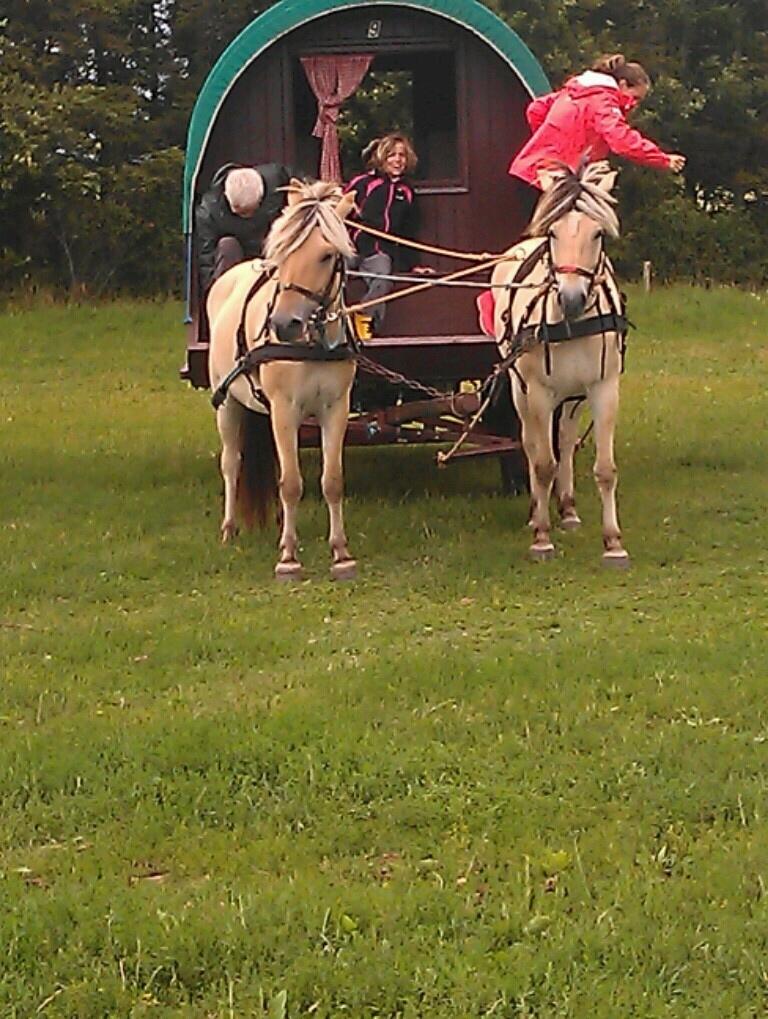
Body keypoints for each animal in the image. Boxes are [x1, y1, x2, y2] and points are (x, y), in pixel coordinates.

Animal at [204, 181, 358, 582]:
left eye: (327, 255)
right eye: (283, 252)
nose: (285, 323)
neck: (312, 343)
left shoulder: (335, 408)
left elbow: (332, 480)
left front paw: (341, 554)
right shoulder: (285, 409)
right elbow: (291, 483)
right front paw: (288, 558)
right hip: (228, 404)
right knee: (232, 462)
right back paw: (229, 529)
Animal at [490, 163, 627, 570]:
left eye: (598, 232)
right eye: (552, 232)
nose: (571, 297)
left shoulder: (603, 388)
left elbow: (605, 468)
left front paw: (613, 543)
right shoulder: (538, 392)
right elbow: (541, 463)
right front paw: (541, 538)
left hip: (572, 396)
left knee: (564, 440)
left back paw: (567, 510)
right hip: (521, 390)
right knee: (531, 444)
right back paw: (538, 511)